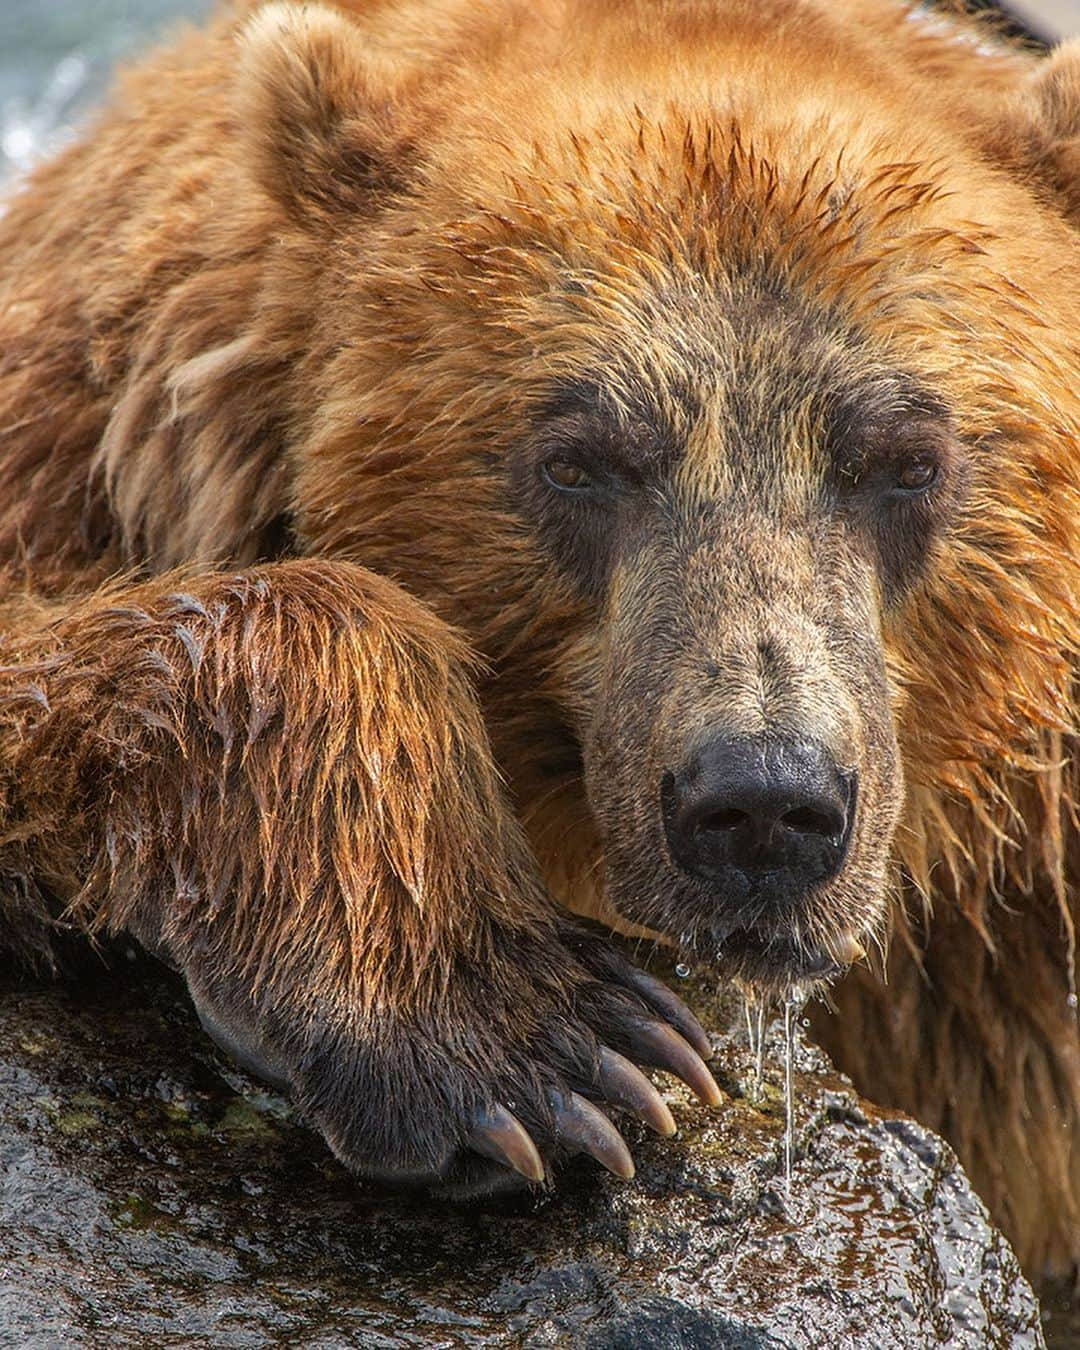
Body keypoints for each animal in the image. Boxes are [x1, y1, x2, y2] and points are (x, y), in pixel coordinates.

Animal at [0, 0, 1074, 1285]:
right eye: (579, 460)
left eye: (907, 459)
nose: (766, 802)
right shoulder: (78, 443)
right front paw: (546, 1046)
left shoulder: (1016, 920)